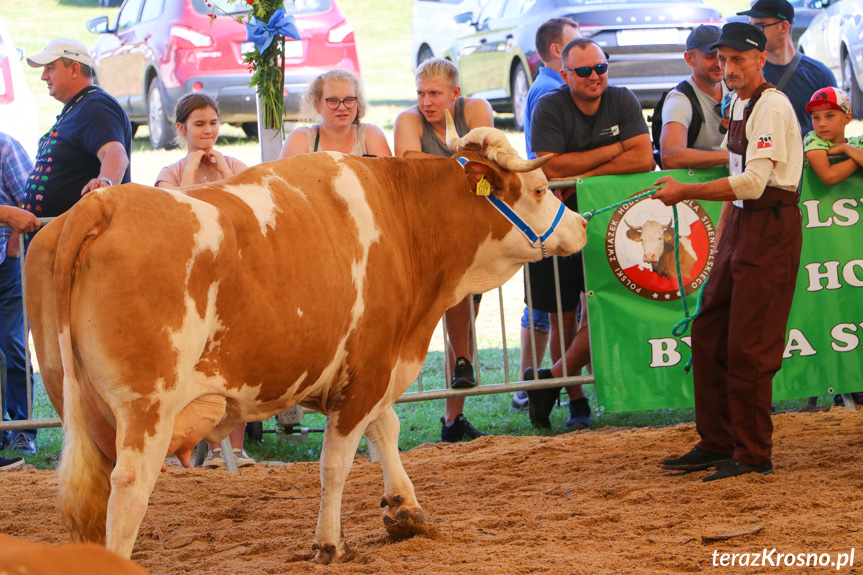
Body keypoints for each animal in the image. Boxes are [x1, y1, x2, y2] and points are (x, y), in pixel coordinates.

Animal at [25, 117, 588, 564]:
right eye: (540, 189)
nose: (582, 225)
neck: (403, 217)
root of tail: (101, 205)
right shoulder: (369, 367)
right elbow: (336, 462)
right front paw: (329, 544)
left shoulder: (367, 362)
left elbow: (385, 430)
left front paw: (404, 510)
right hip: (147, 408)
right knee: (128, 490)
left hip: (78, 405)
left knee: (92, 496)